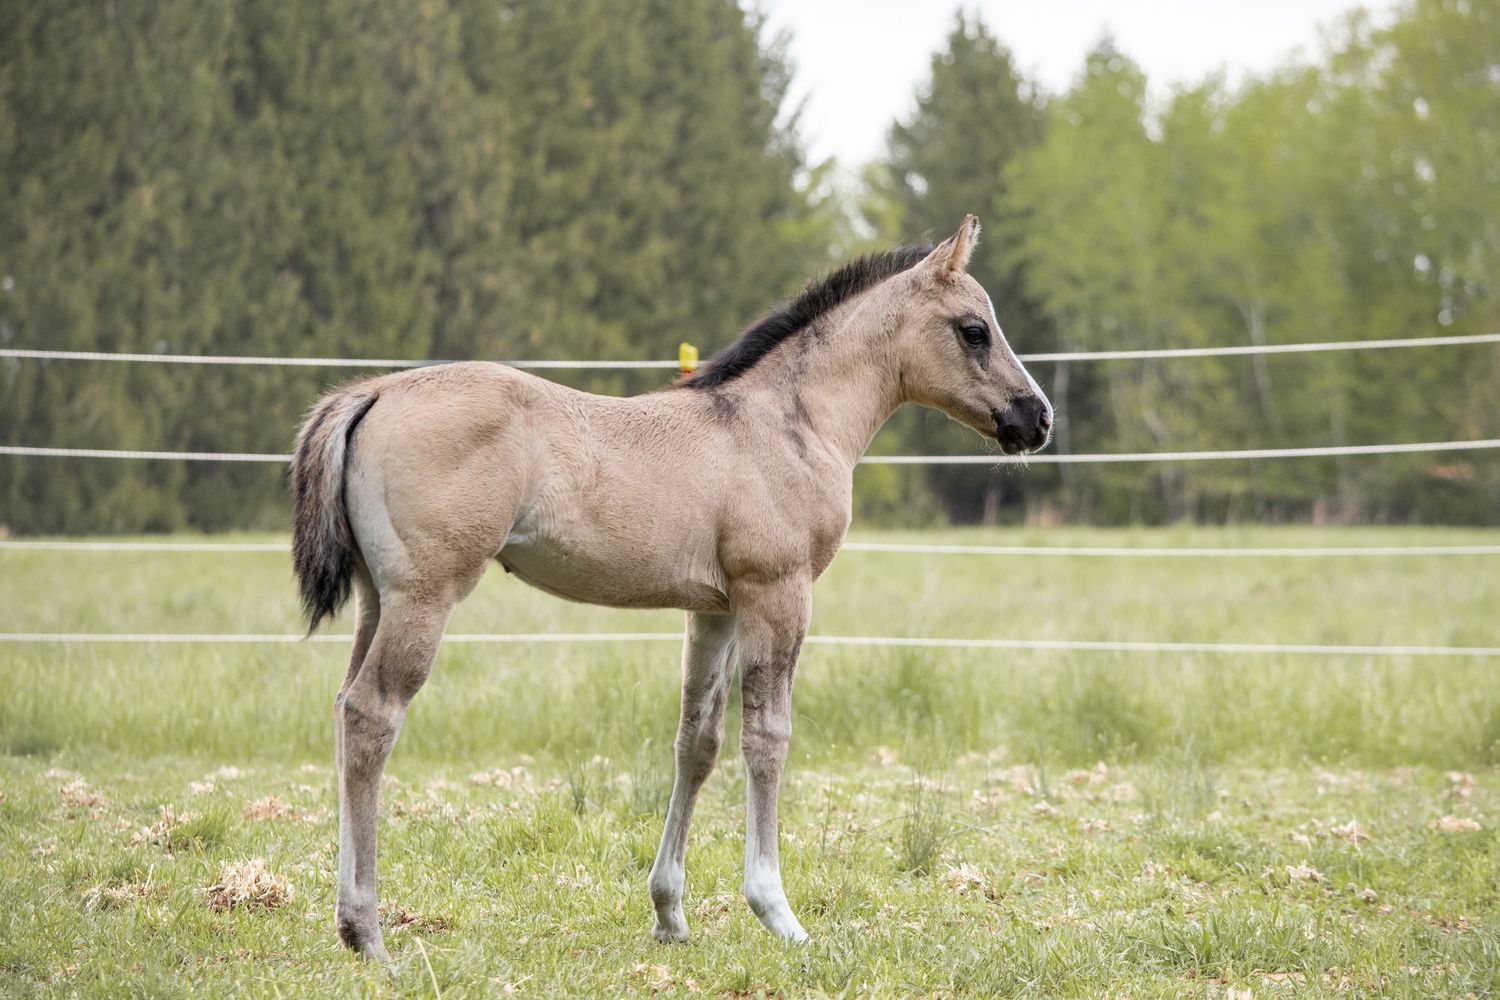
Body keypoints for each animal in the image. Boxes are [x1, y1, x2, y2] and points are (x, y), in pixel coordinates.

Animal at [290, 215, 1052, 961]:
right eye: (974, 329)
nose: (1037, 418)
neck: (787, 425)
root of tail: (375, 391)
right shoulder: (777, 594)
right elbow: (767, 737)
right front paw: (777, 911)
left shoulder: (714, 612)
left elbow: (698, 743)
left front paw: (669, 914)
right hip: (426, 594)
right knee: (373, 714)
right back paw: (368, 933)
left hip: (377, 598)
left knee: (344, 707)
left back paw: (349, 922)